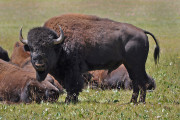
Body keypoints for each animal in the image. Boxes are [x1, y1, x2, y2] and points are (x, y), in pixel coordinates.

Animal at [20, 13, 160, 103]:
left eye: (48, 47)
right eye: (31, 48)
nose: (39, 64)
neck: (60, 44)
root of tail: (142, 31)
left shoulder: (72, 71)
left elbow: (73, 86)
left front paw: (69, 101)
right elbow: (69, 86)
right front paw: (72, 100)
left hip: (136, 65)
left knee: (141, 81)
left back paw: (140, 102)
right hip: (129, 65)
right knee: (136, 82)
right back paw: (132, 101)